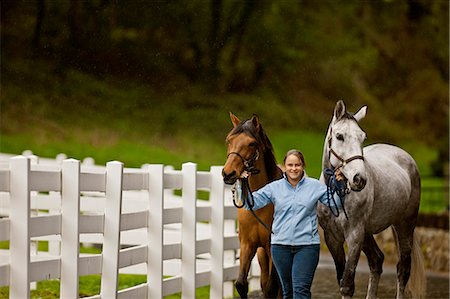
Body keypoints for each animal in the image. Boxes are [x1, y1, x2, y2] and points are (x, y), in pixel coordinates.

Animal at [221, 113, 282, 299]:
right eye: (229, 140)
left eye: (252, 143)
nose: (228, 173)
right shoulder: (247, 245)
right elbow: (241, 284)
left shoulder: (273, 247)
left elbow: (272, 287)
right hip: (262, 255)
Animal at [316, 101, 426, 299]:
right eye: (339, 136)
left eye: (362, 137)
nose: (359, 179)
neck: (338, 192)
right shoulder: (332, 238)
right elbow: (342, 280)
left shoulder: (354, 236)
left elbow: (347, 284)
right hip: (368, 233)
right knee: (376, 261)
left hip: (405, 225)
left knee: (403, 269)